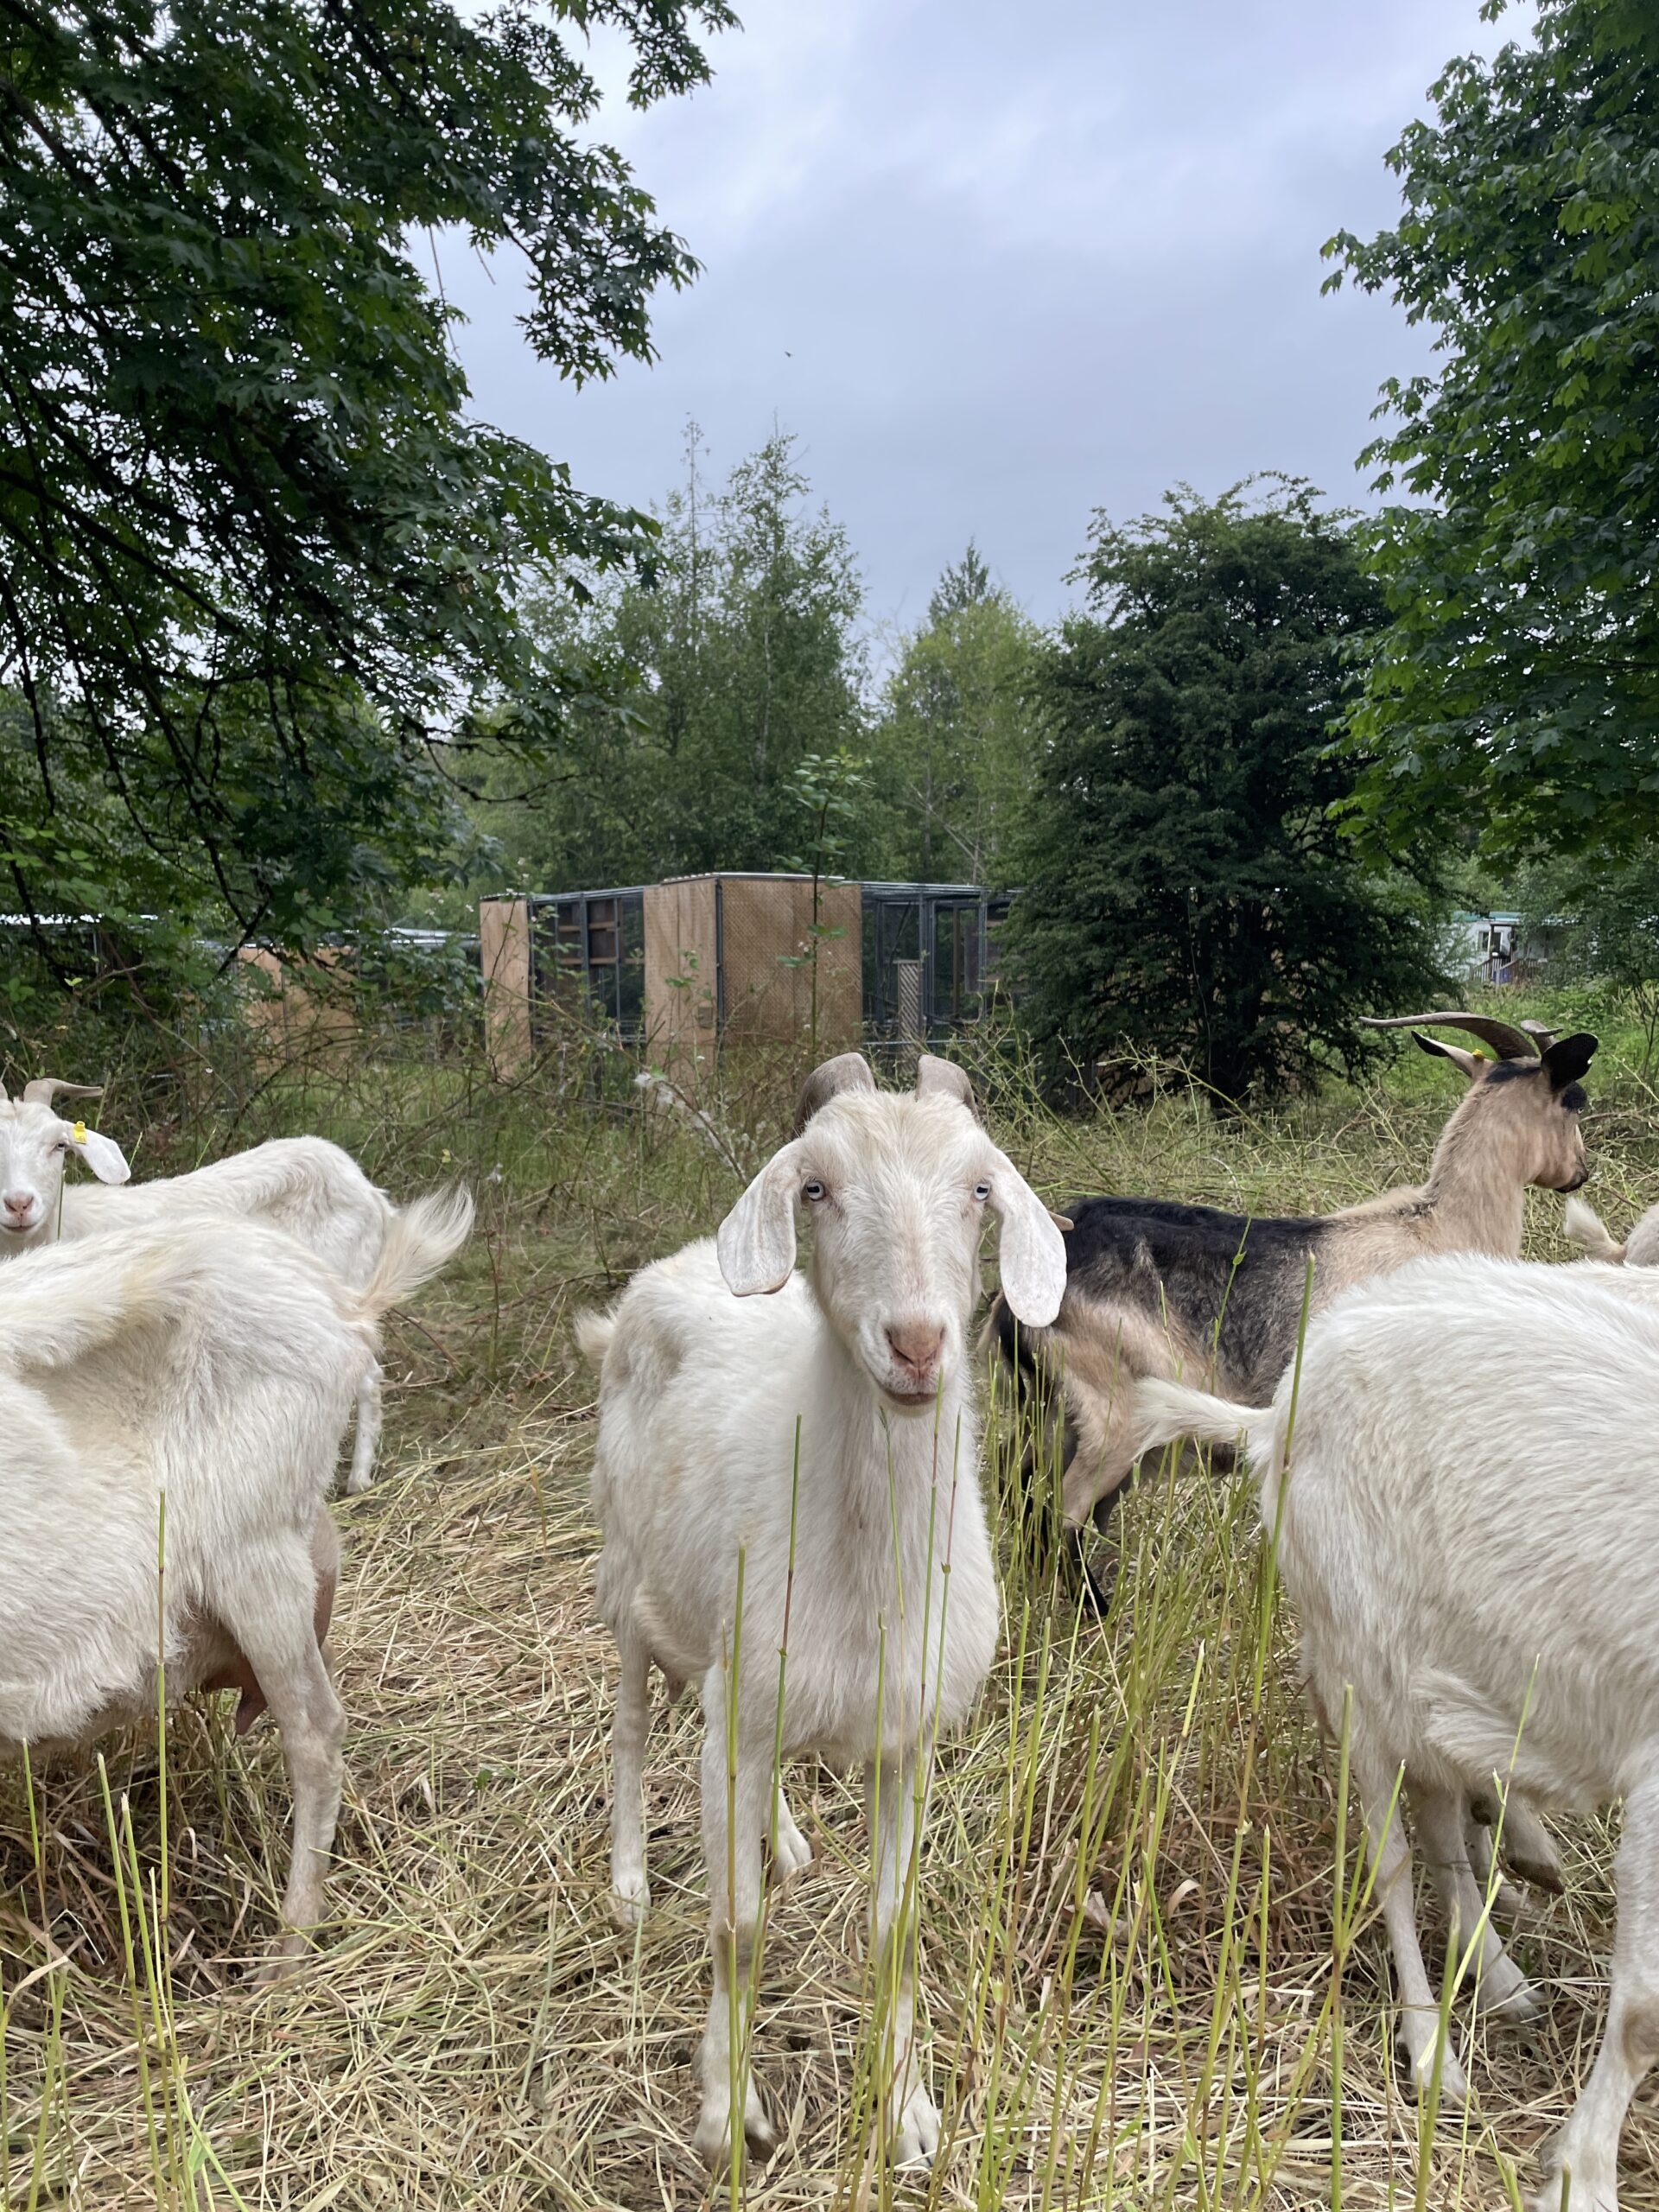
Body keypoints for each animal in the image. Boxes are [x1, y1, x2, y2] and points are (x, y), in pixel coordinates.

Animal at [577, 1052, 1067, 2169]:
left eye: (980, 1187)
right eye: (816, 1187)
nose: (918, 1343)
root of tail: (666, 1272)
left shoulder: (905, 1739)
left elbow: (895, 1927)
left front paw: (910, 2115)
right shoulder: (739, 1708)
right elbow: (736, 1926)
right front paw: (728, 2116)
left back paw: (788, 1839)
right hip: (626, 1575)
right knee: (629, 1726)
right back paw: (628, 1882)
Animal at [987, 1014, 1597, 1536]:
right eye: (1574, 1101)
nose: (1581, 1172)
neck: (1435, 1227)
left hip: (1047, 1420)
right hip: (1112, 1417)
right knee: (1060, 1523)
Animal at [1131, 1251, 1659, 2212]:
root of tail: (1277, 1408)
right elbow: (1643, 2013)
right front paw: (1581, 2174)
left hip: (1434, 1683)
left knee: (1444, 1830)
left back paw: (1501, 1976)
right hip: (1357, 1660)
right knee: (1392, 1860)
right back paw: (1432, 2054)